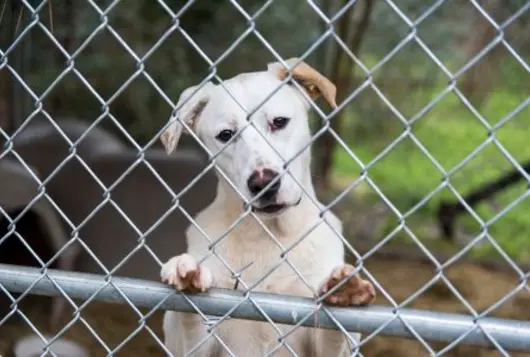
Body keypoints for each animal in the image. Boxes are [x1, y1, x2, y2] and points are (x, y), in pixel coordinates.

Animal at [159, 58, 374, 356]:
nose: (263, 183)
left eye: (279, 122)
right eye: (226, 135)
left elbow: (334, 332)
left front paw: (344, 292)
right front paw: (187, 274)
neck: (266, 235)